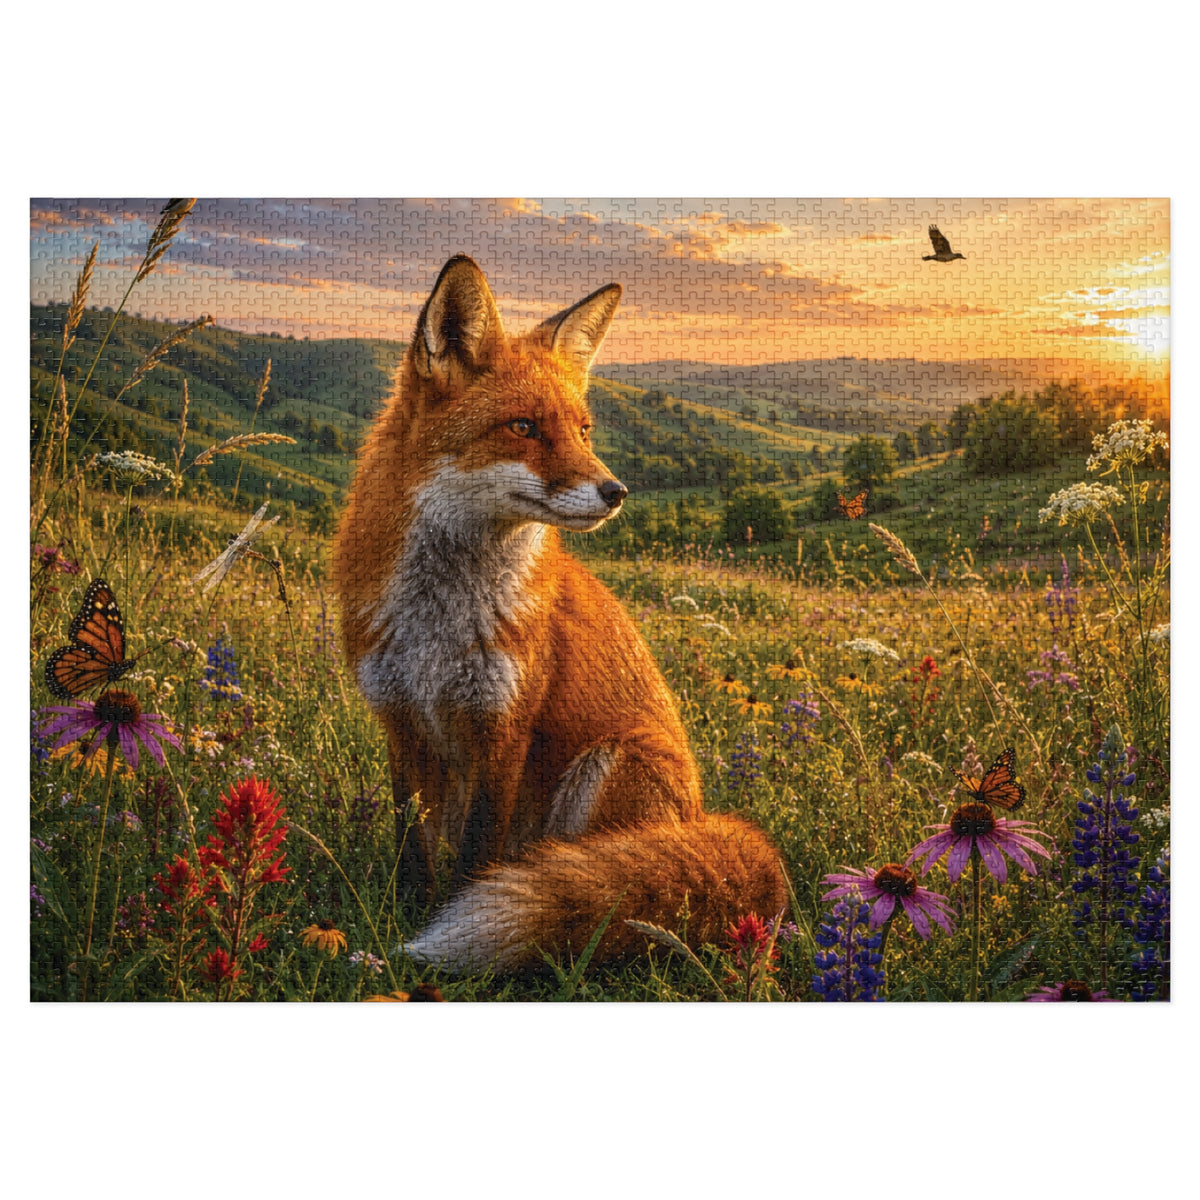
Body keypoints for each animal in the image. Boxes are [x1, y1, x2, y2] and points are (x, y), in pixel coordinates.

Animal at [333, 254, 788, 972]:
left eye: (583, 429)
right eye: (523, 427)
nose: (616, 491)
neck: (439, 621)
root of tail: (698, 820)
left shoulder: (504, 726)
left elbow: (474, 857)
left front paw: (442, 933)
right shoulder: (401, 721)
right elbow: (413, 849)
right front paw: (401, 919)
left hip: (608, 766)